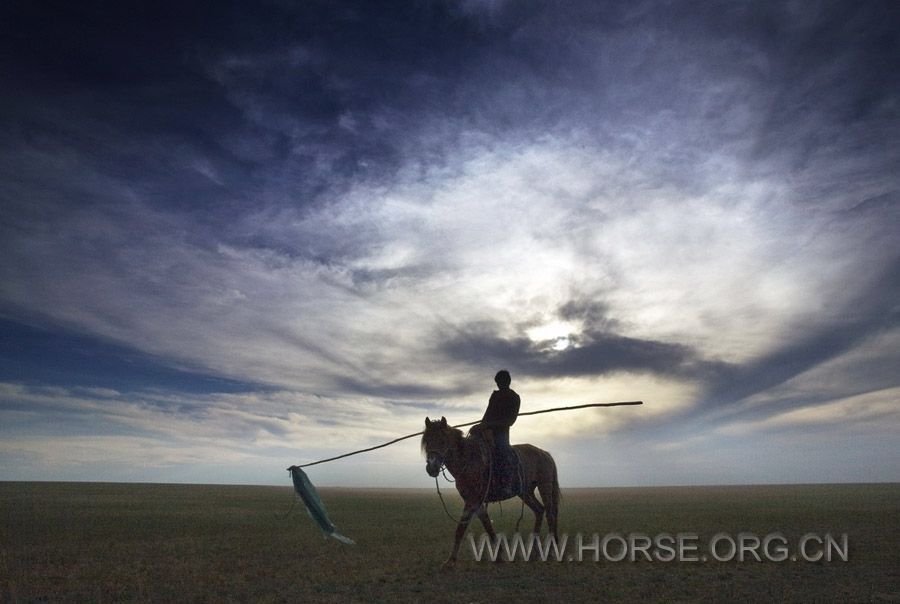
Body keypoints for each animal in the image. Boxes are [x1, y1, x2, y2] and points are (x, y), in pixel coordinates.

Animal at [424, 412, 564, 564]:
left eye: (443, 441)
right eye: (427, 442)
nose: (431, 467)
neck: (468, 460)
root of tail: (545, 454)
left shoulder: (472, 499)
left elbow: (461, 528)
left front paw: (450, 561)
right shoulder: (475, 501)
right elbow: (487, 524)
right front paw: (499, 554)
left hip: (544, 486)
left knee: (550, 514)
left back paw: (551, 549)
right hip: (526, 492)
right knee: (539, 510)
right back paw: (534, 549)